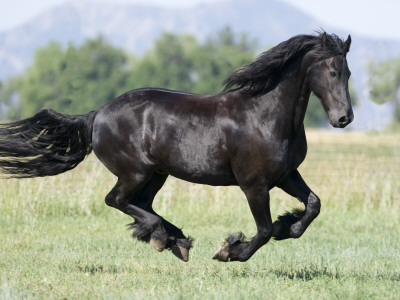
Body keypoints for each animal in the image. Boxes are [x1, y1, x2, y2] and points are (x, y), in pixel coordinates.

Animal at [0, 32, 352, 262]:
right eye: (333, 71)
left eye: (347, 72)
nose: (344, 118)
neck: (264, 116)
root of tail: (97, 114)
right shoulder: (254, 184)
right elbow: (263, 231)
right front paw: (230, 250)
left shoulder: (286, 175)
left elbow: (313, 206)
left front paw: (286, 224)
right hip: (135, 172)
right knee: (117, 200)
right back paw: (163, 237)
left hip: (157, 174)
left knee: (140, 204)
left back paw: (175, 239)